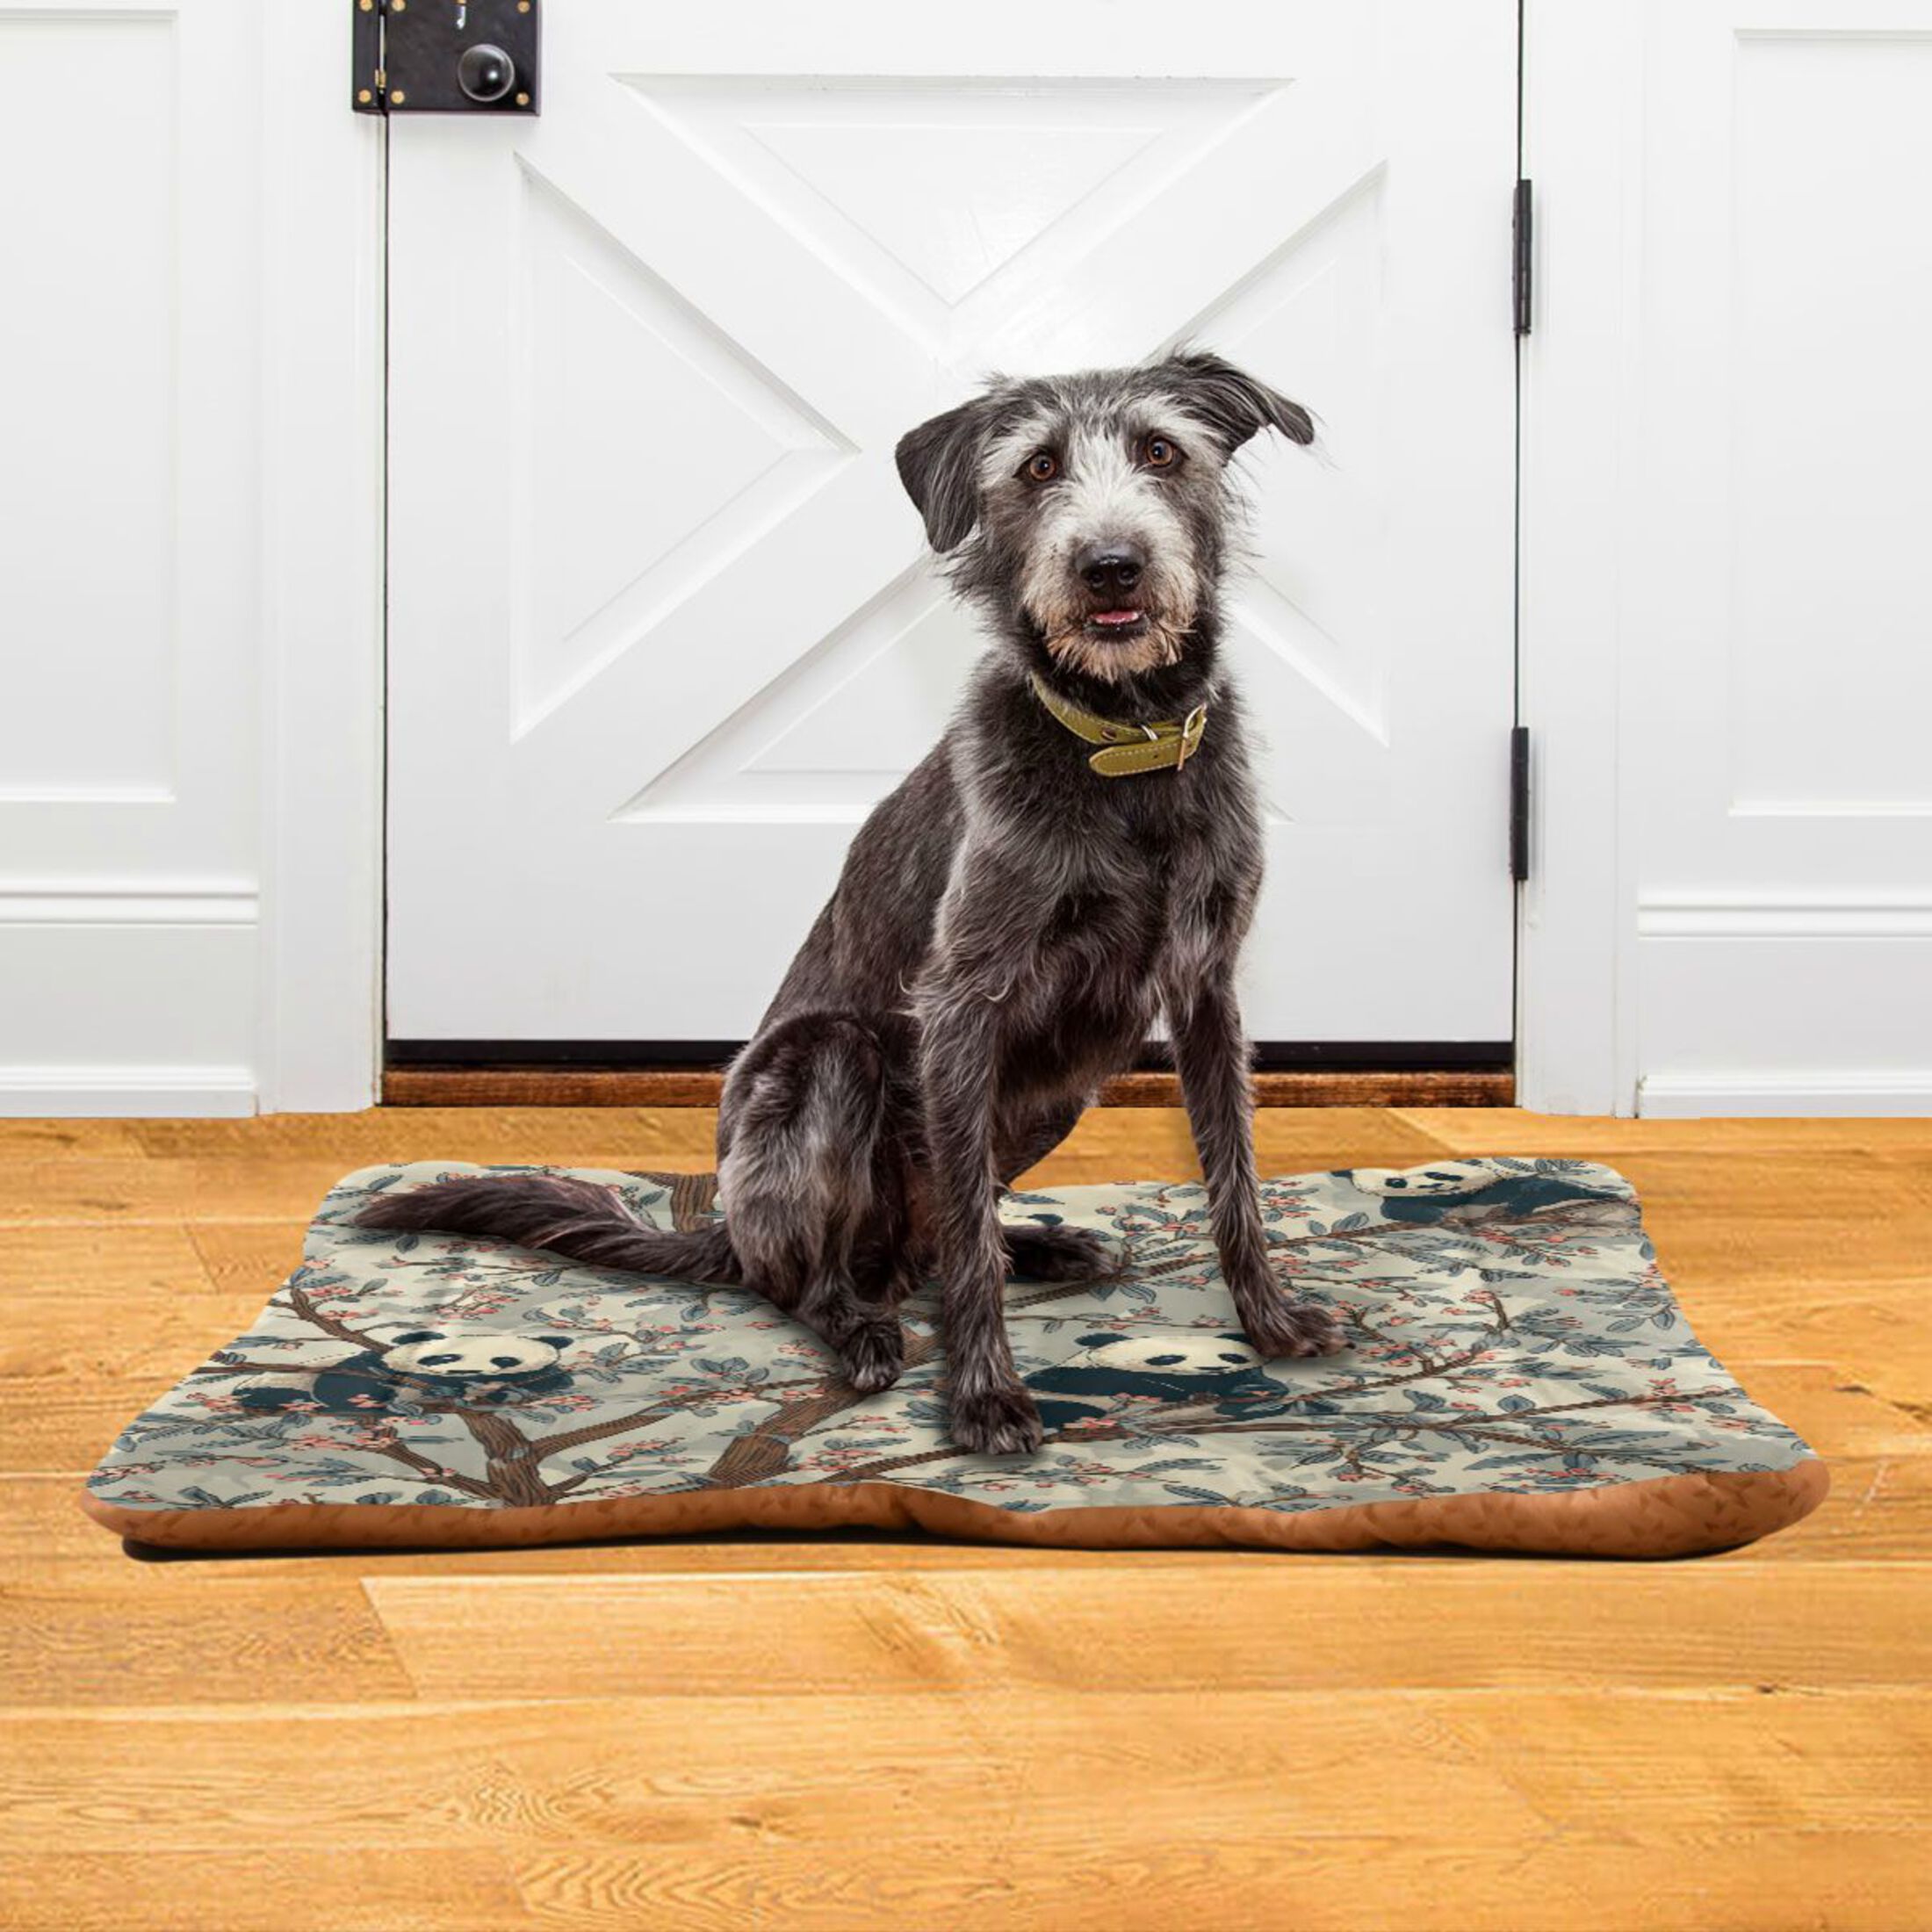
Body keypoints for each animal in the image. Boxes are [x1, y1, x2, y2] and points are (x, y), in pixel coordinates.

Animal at [236, 1326, 576, 1416]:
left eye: (504, 1361)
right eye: (444, 1357)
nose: (461, 1374)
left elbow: (554, 1381)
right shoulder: (374, 1363)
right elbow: (347, 1382)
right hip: (280, 1381)